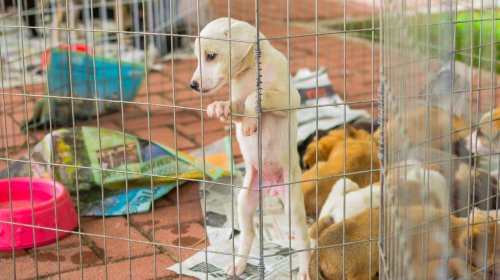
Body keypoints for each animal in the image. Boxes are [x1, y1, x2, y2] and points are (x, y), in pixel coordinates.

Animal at [190, 18, 310, 278]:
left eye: (211, 56)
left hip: (293, 207)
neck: (251, 70)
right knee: (249, 234)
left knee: (304, 240)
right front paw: (220, 107)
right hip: (244, 201)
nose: (192, 85)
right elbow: (237, 106)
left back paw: (305, 270)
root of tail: (271, 187)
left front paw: (250, 120)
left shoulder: (290, 99)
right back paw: (238, 264)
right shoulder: (236, 102)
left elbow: (256, 96)